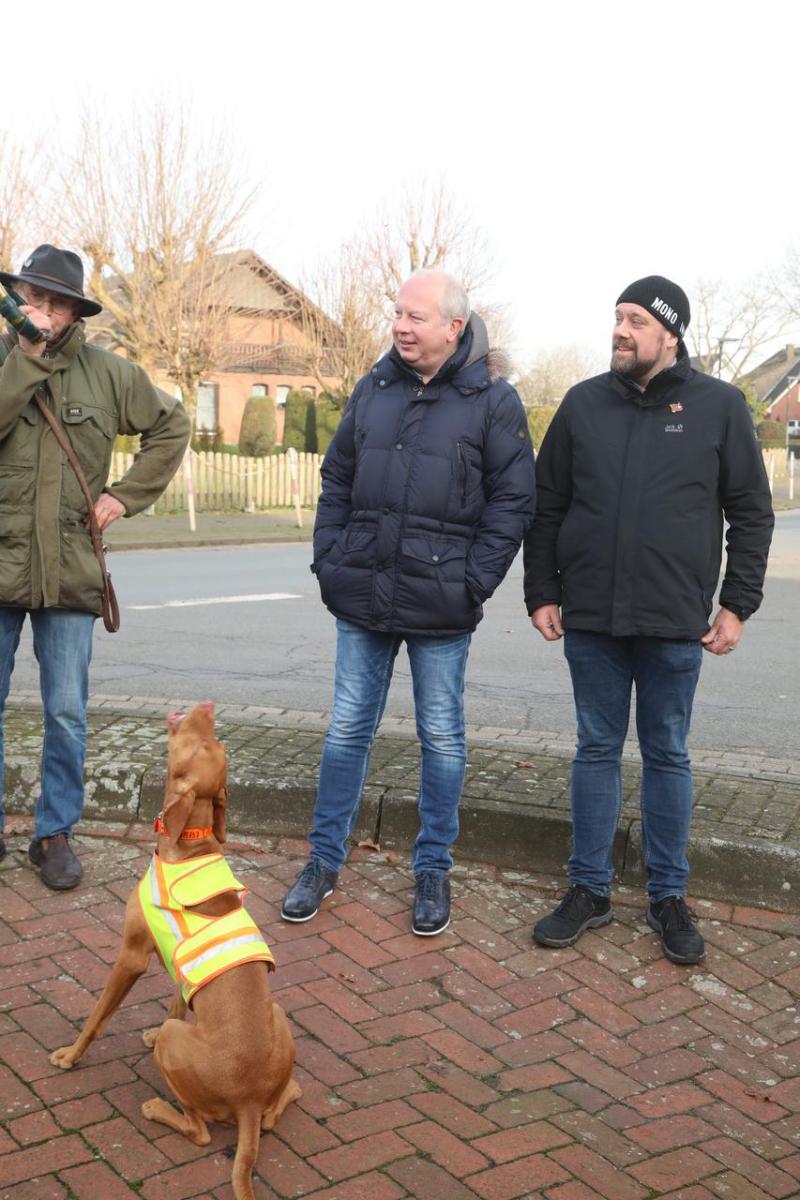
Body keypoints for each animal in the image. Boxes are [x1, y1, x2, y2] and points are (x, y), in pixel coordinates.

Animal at [50, 702, 300, 1200]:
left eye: (203, 742)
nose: (207, 705)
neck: (189, 843)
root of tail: (248, 1099)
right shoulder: (180, 963)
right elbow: (177, 1003)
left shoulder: (131, 954)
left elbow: (97, 1016)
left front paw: (71, 1055)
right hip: (277, 1018)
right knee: (277, 1109)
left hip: (190, 1069)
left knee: (200, 1130)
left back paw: (158, 1110)